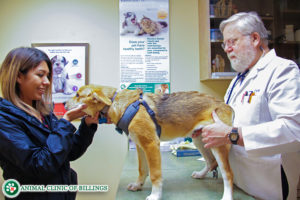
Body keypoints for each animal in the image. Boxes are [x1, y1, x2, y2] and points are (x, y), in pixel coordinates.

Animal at [67, 85, 236, 200]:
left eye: (77, 95)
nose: (63, 104)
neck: (115, 102)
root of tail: (226, 105)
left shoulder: (151, 144)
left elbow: (155, 174)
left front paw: (155, 195)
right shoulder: (140, 146)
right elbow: (142, 170)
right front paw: (138, 185)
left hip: (218, 143)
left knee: (228, 173)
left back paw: (227, 196)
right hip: (200, 139)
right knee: (211, 162)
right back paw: (200, 174)